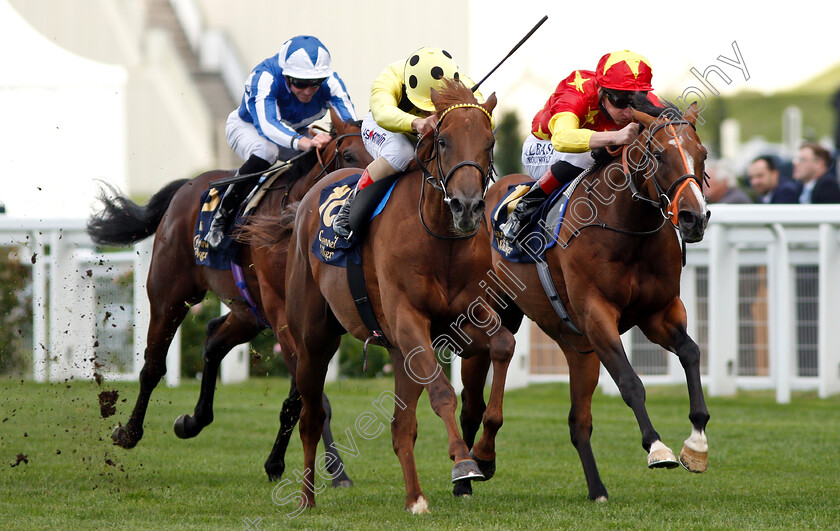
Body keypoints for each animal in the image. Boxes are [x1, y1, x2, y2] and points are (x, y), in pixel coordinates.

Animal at [87, 110, 372, 484]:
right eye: (349, 156)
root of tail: (190, 185)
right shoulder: (282, 316)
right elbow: (311, 395)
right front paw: (330, 469)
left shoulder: (321, 325)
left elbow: (301, 397)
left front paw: (289, 464)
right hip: (170, 294)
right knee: (153, 366)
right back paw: (130, 432)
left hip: (247, 312)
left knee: (212, 340)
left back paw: (193, 421)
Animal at [278, 80, 516, 516]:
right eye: (443, 140)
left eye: (489, 142)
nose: (468, 207)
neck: (440, 238)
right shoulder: (408, 320)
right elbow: (442, 392)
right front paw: (463, 460)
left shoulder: (463, 320)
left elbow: (504, 345)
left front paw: (486, 453)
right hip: (313, 341)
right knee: (310, 417)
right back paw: (306, 498)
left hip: (397, 352)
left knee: (400, 427)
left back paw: (415, 498)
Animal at [470, 101, 712, 502]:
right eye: (659, 155)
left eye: (703, 154)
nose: (695, 218)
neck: (627, 228)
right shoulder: (597, 316)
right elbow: (631, 382)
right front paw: (656, 447)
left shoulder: (659, 313)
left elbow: (691, 353)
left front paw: (696, 444)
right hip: (495, 306)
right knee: (495, 357)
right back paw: (480, 454)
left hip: (576, 346)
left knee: (577, 421)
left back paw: (596, 489)